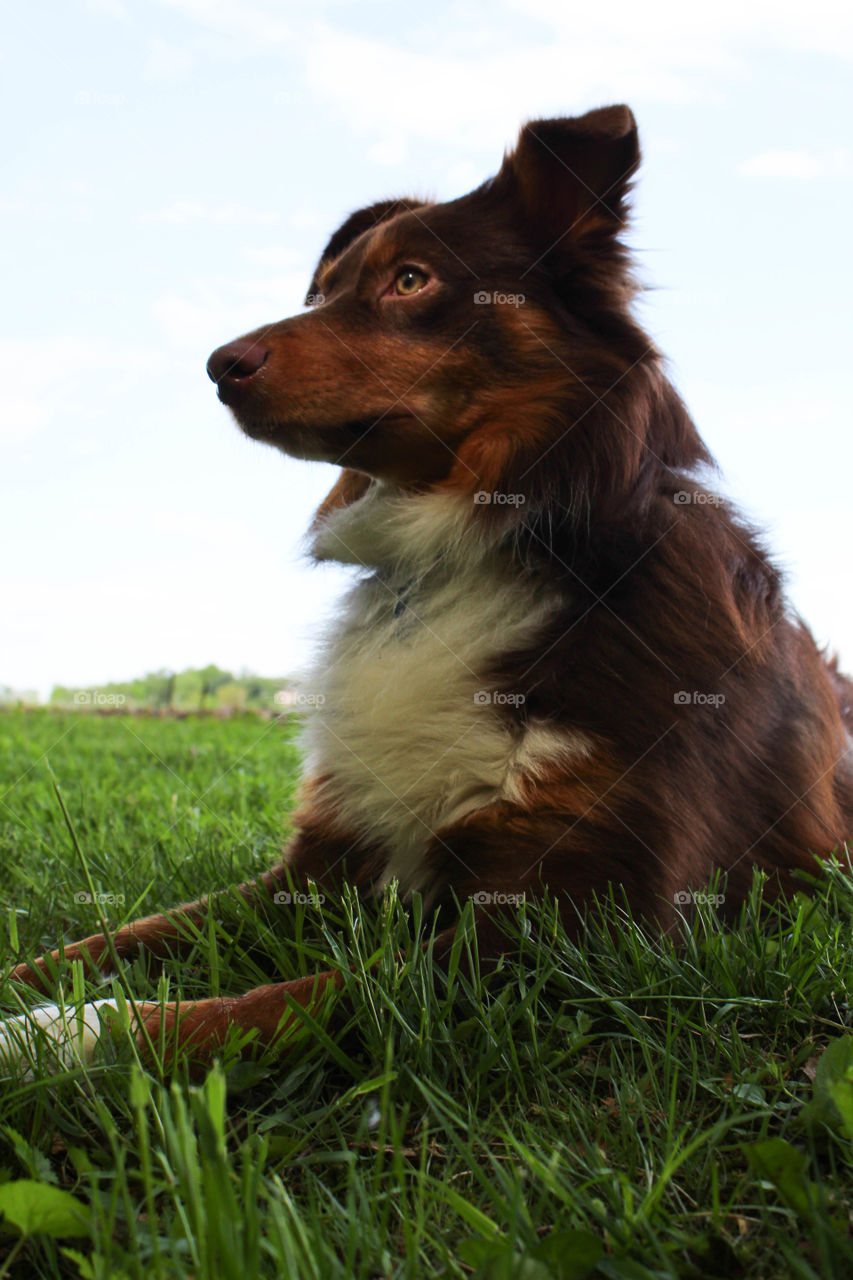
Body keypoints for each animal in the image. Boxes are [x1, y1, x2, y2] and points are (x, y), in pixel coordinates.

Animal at [6, 107, 850, 1070]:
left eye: (411, 280)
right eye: (325, 290)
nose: (218, 365)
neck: (466, 552)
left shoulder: (580, 927)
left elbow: (267, 1001)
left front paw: (59, 1033)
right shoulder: (317, 868)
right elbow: (113, 939)